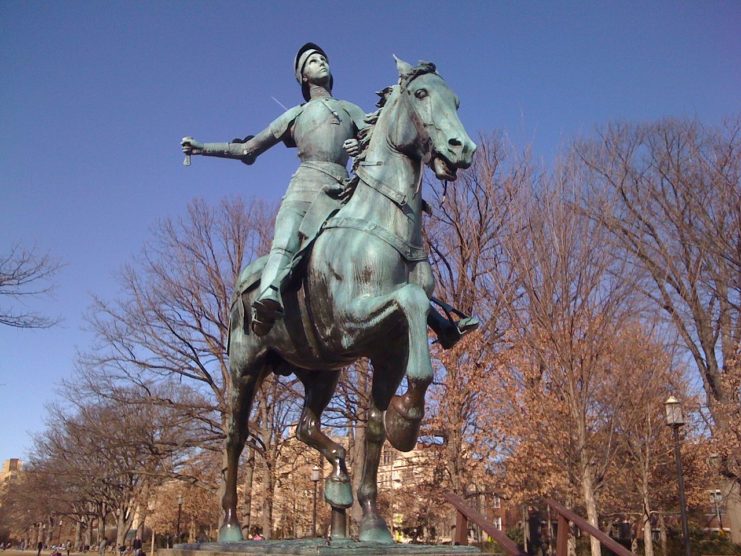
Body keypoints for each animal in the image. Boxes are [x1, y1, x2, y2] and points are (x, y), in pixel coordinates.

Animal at [218, 56, 474, 544]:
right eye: (421, 94)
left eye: (457, 100)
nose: (462, 148)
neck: (381, 221)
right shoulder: (351, 323)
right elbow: (411, 299)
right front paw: (407, 421)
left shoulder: (388, 351)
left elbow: (374, 427)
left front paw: (372, 517)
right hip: (245, 367)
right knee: (235, 437)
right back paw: (229, 524)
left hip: (321, 371)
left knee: (306, 426)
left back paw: (336, 470)